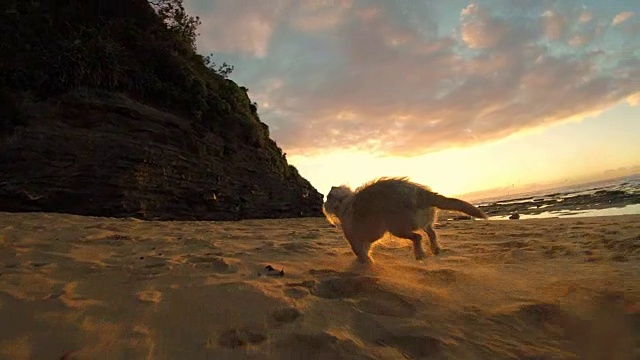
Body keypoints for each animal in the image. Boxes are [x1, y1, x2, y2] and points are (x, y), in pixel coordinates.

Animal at [322, 176, 488, 262]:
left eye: (328, 197)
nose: (324, 198)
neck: (345, 202)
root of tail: (420, 193)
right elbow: (366, 246)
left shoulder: (353, 237)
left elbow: (359, 250)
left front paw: (364, 260)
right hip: (421, 221)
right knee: (431, 232)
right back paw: (435, 249)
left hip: (398, 228)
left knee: (418, 237)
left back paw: (419, 254)